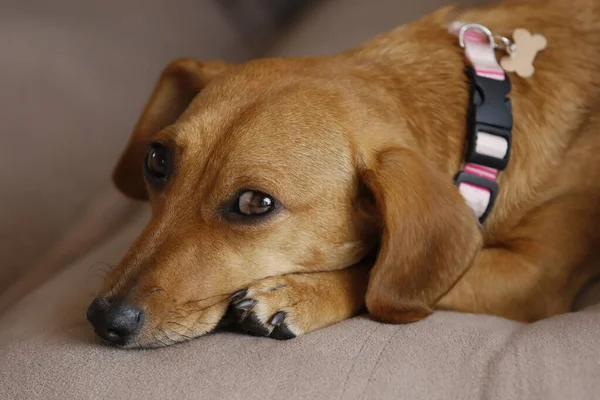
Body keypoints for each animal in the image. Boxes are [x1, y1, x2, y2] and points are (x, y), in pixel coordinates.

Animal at [85, 0, 600, 346]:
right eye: (156, 161)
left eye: (255, 203)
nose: (104, 319)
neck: (488, 117)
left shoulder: (534, 276)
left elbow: (376, 280)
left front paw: (302, 292)